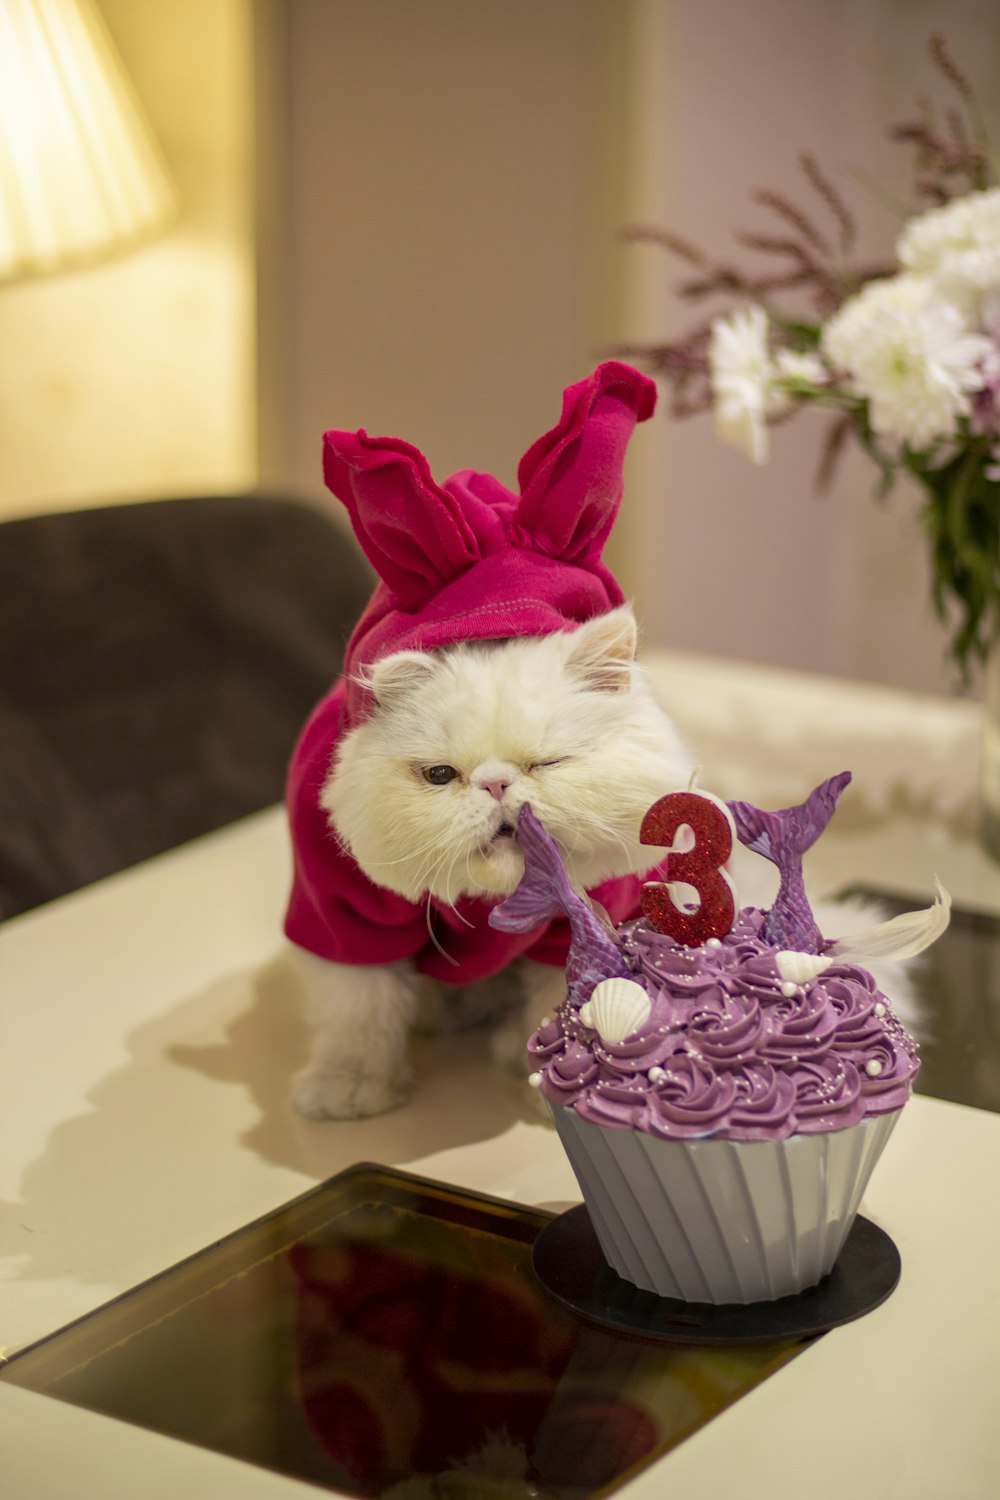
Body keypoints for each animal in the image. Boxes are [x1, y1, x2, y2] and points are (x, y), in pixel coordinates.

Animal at [289, 603, 695, 1122]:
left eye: (547, 764)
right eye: (440, 775)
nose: (496, 784)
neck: (490, 897)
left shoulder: (581, 925)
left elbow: (564, 1003)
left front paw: (554, 1087)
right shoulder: (350, 926)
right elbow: (358, 1017)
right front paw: (350, 1091)